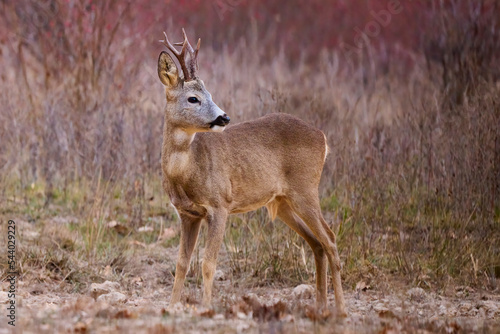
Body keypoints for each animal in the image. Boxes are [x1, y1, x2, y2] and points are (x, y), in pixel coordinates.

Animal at [158, 28, 346, 316]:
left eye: (210, 94)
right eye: (193, 98)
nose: (224, 118)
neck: (187, 171)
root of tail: (323, 138)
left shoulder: (220, 205)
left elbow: (208, 263)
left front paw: (206, 308)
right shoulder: (188, 214)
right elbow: (181, 264)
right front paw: (171, 307)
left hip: (305, 189)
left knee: (331, 238)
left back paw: (341, 310)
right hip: (283, 202)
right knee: (317, 243)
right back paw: (321, 306)